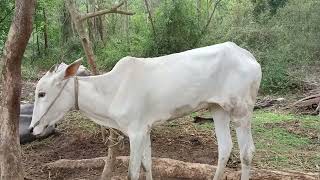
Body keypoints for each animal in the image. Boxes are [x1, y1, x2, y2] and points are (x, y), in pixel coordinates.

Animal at [28, 41, 262, 180]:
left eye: (42, 93)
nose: (31, 128)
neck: (112, 91)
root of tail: (249, 56)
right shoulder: (146, 129)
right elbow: (147, 165)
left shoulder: (137, 132)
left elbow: (133, 172)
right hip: (217, 108)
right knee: (225, 148)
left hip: (241, 111)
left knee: (247, 152)